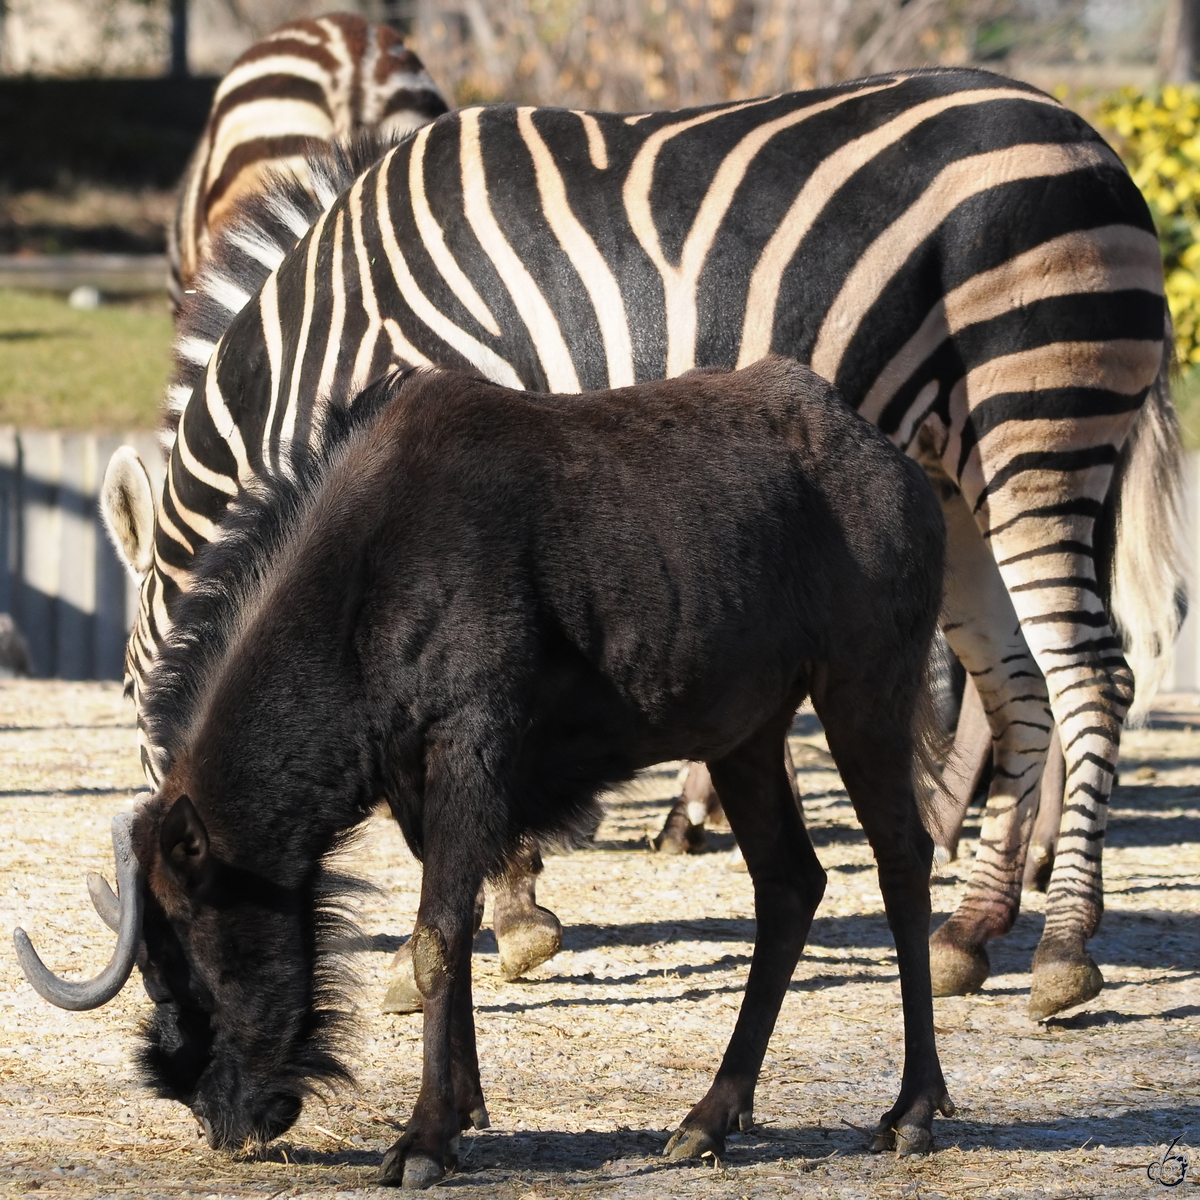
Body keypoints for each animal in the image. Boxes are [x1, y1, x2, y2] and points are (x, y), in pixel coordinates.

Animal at [105, 68, 1190, 1022]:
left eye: (130, 701)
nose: (166, 979)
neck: (323, 348)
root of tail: (1092, 138)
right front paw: (505, 918)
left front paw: (498, 925)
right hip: (955, 474)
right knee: (1019, 686)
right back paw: (970, 932)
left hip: (1036, 418)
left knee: (1093, 677)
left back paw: (1063, 949)